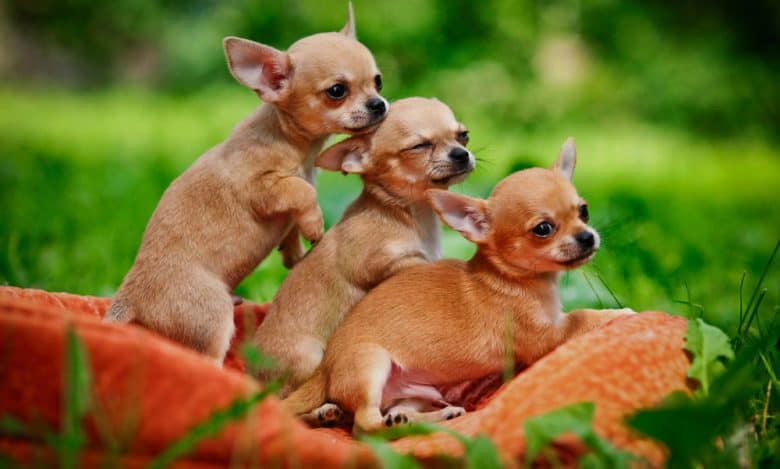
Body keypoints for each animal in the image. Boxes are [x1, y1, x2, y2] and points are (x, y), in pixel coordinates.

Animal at [105, 5, 388, 362]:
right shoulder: (262, 188)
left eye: (378, 82)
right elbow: (304, 191)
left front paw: (293, 252)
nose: (379, 104)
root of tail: (130, 294)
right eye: (337, 91)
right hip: (211, 316)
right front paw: (314, 226)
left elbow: (293, 218)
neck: (291, 140)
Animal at [258, 98, 476, 398]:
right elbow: (419, 264)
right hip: (308, 357)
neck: (408, 214)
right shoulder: (380, 263)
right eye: (419, 146)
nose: (462, 154)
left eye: (463, 135)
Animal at [284, 138, 632, 432]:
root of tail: (325, 368)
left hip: (415, 391)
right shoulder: (545, 336)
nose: (587, 237)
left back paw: (431, 416)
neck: (510, 277)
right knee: (365, 424)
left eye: (584, 211)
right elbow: (580, 317)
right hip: (371, 363)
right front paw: (618, 312)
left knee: (397, 411)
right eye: (543, 229)